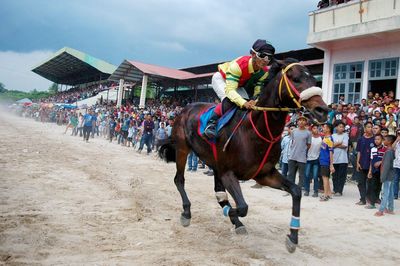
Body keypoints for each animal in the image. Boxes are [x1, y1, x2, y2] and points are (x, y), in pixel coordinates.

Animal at [159, 59, 328, 252]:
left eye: (314, 80)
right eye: (296, 79)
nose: (322, 110)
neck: (255, 131)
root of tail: (185, 108)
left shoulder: (264, 174)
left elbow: (296, 191)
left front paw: (292, 237)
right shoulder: (228, 173)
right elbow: (243, 207)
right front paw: (231, 214)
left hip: (213, 161)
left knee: (218, 192)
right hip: (182, 148)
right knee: (179, 179)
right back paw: (187, 212)